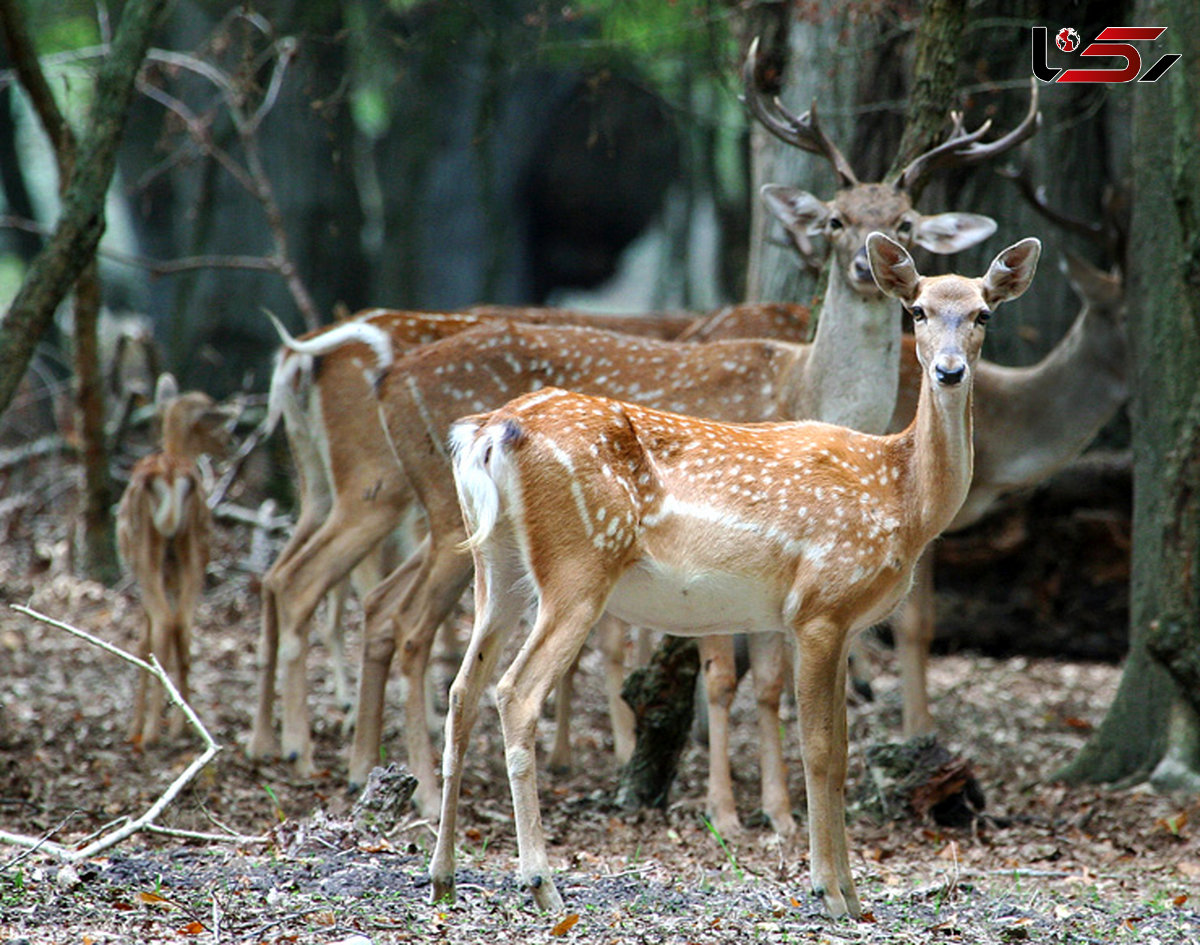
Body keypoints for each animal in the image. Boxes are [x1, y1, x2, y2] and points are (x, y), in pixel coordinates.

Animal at [116, 371, 231, 743]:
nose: (230, 441)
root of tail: (169, 474)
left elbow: (143, 639)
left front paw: (134, 727)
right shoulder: (174, 573)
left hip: (145, 553)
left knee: (165, 622)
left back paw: (150, 732)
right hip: (193, 548)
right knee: (183, 623)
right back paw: (182, 726)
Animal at [429, 232, 1041, 921]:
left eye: (982, 314)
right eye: (917, 311)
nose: (950, 370)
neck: (901, 495)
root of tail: (487, 432)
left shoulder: (844, 624)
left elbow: (843, 753)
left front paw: (855, 895)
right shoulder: (819, 608)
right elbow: (820, 751)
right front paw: (827, 891)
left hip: (497, 565)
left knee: (462, 691)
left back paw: (442, 875)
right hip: (578, 565)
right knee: (516, 692)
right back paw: (540, 881)